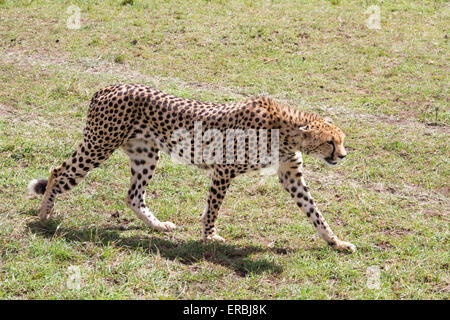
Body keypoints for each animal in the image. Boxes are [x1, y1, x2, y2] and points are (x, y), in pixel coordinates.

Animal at [29, 84, 356, 252]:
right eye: (330, 142)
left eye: (341, 140)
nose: (342, 156)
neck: (286, 131)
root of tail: (108, 86)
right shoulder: (224, 169)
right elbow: (213, 208)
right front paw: (209, 237)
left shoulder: (291, 176)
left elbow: (315, 212)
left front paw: (335, 241)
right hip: (99, 145)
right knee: (58, 172)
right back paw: (44, 215)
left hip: (145, 154)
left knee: (133, 195)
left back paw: (159, 226)